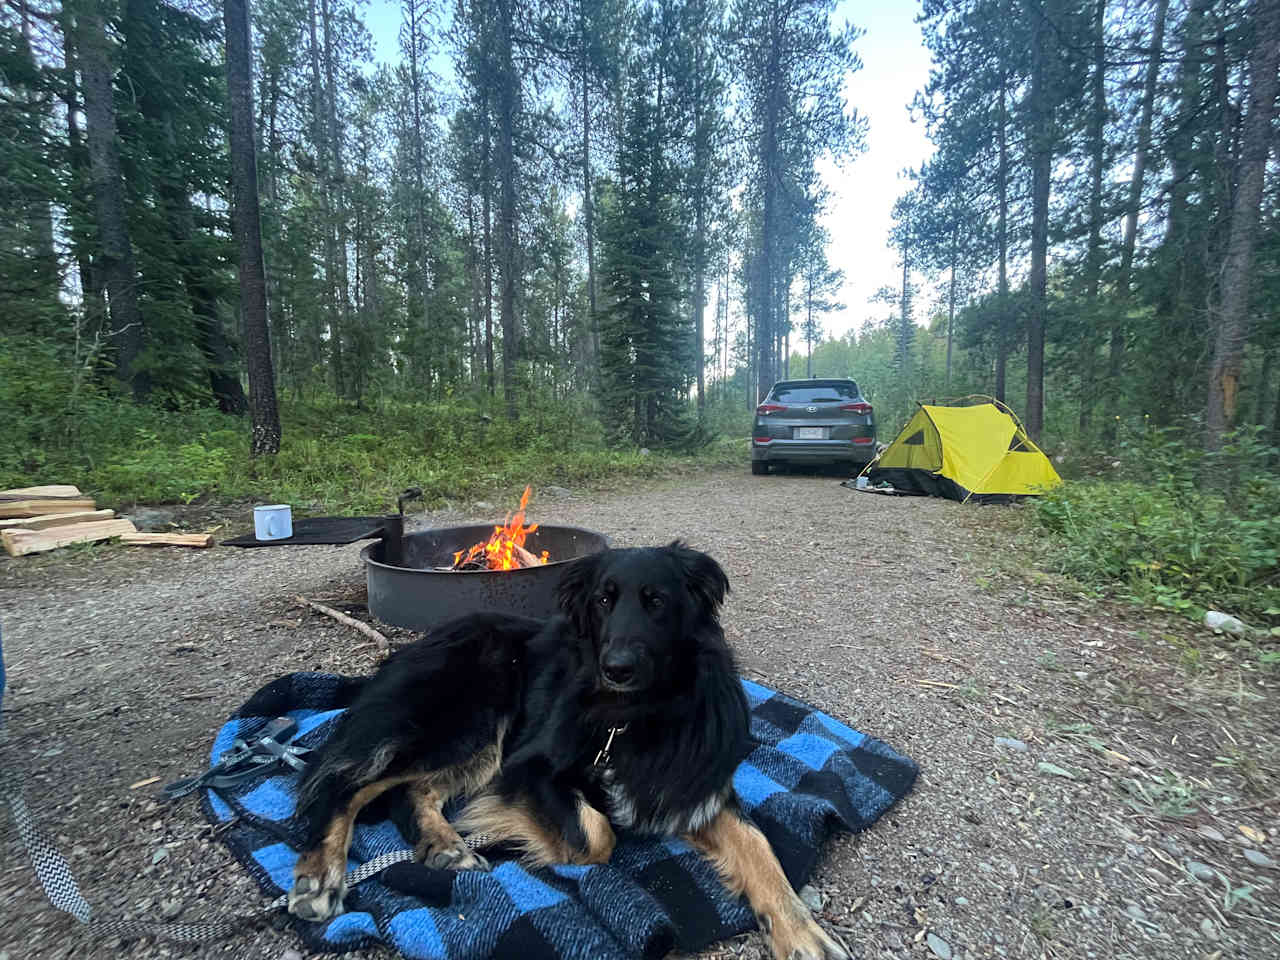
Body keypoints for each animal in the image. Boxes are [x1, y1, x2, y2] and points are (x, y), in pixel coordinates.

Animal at [290, 542, 849, 960]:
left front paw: (802, 933)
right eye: (603, 601)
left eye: (657, 601)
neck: (634, 714)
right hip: (470, 721)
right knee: (346, 782)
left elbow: (760, 849)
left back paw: (444, 845)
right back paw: (320, 876)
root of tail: (414, 645)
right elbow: (596, 835)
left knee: (411, 791)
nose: (616, 668)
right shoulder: (528, 767)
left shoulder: (693, 783)